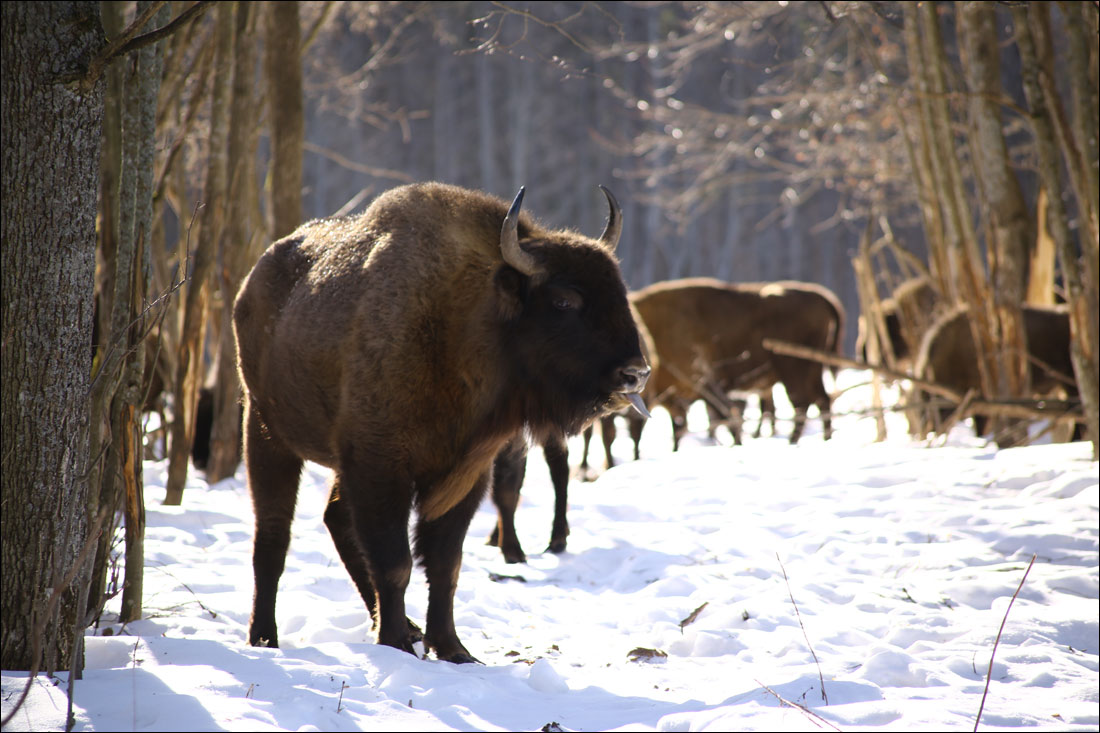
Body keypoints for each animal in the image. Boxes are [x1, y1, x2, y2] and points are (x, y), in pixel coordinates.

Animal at [231, 179, 642, 660]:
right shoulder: (381, 468)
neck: (464, 323)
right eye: (564, 300)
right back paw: (265, 637)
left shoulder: (464, 474)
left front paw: (453, 649)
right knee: (273, 537)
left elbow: (445, 565)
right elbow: (397, 563)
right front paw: (395, 643)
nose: (636, 372)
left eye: (619, 291)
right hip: (266, 433)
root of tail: (251, 285)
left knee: (335, 523)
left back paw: (403, 627)